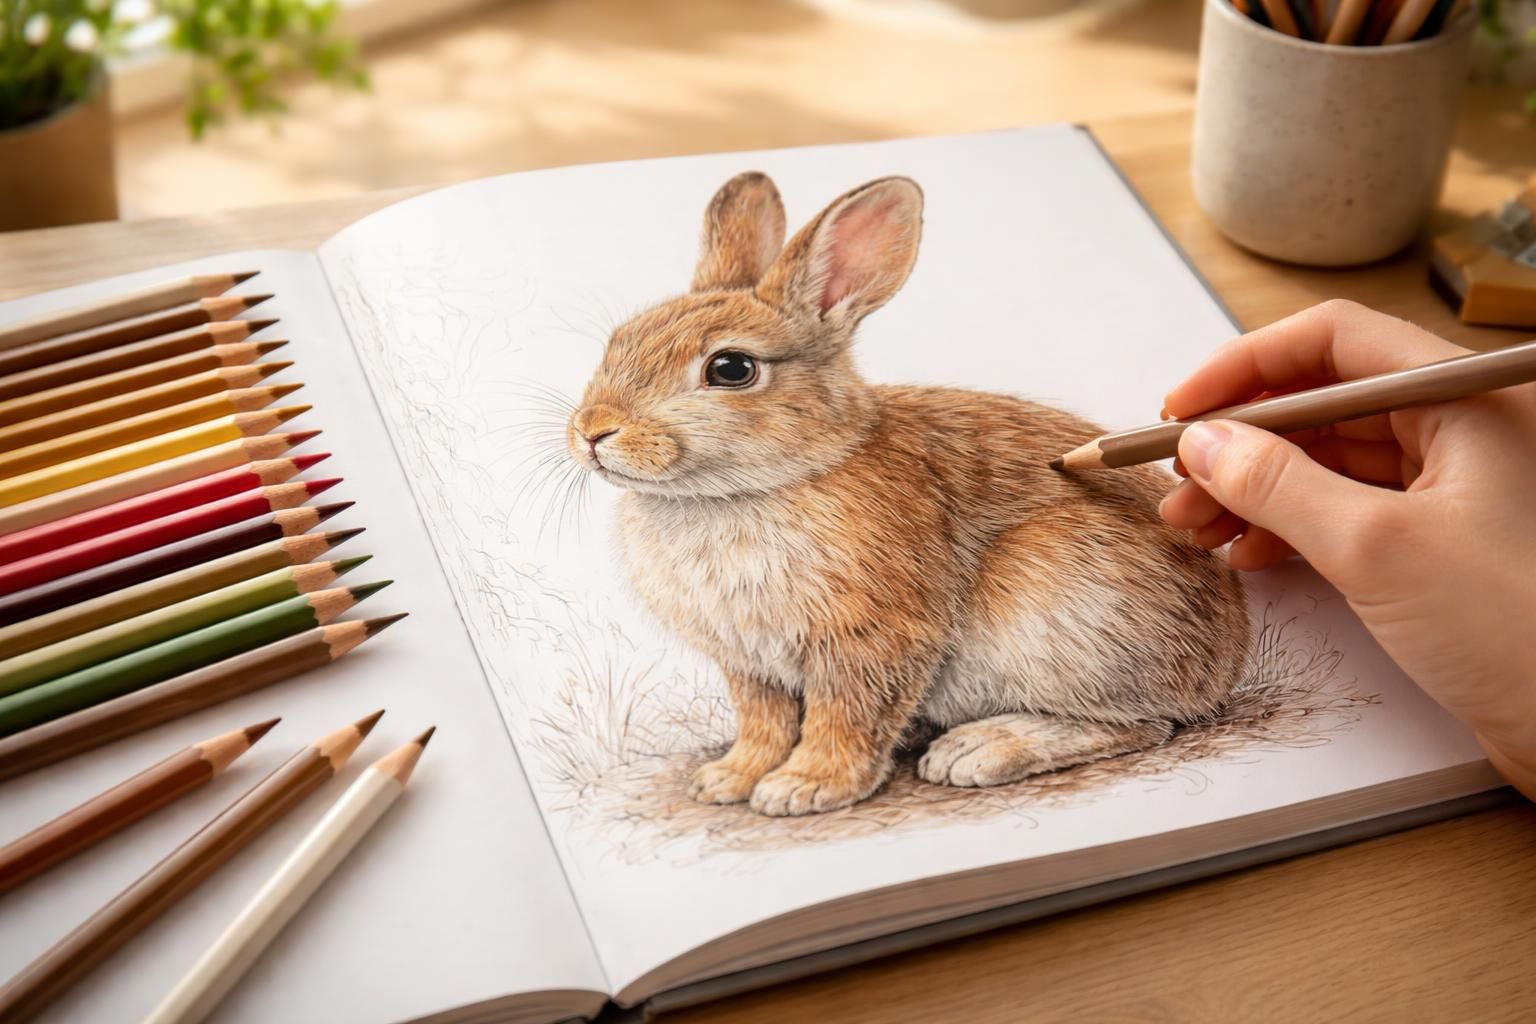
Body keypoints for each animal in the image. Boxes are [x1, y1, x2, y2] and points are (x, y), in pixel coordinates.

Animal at [566, 170, 1251, 817]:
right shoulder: (751, 666)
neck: (749, 486)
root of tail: (1224, 661)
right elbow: (764, 722)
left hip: (1061, 602)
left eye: (731, 369)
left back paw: (977, 751)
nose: (594, 431)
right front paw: (729, 779)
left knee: (1142, 724)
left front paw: (805, 789)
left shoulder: (870, 639)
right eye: (619, 341)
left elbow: (846, 717)